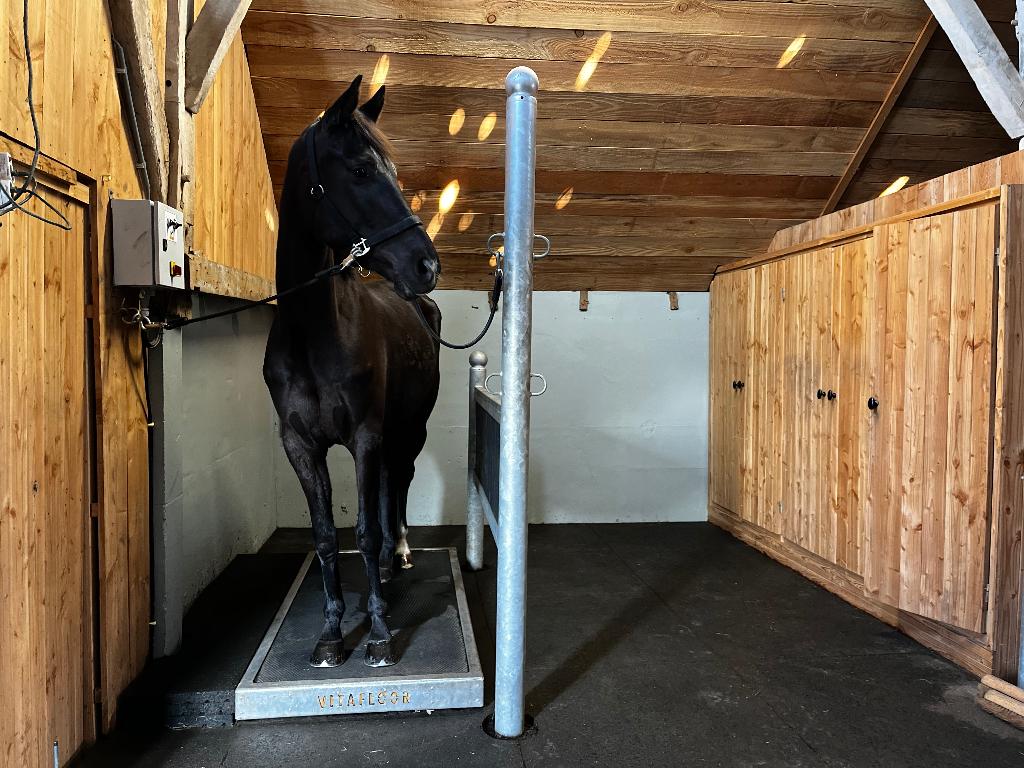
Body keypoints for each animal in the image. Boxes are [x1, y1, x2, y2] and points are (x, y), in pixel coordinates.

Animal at [263, 75, 442, 668]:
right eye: (362, 171)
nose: (426, 265)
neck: (313, 334)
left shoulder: (365, 434)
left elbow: (362, 530)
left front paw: (381, 632)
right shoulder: (299, 446)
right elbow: (324, 537)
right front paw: (331, 632)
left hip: (409, 428)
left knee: (399, 480)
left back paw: (397, 553)